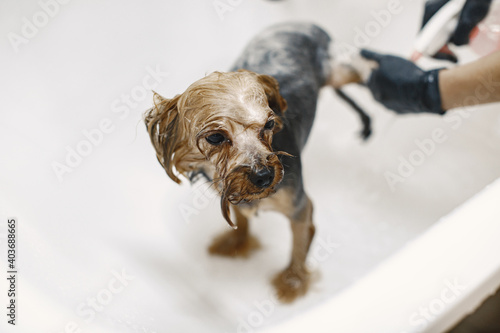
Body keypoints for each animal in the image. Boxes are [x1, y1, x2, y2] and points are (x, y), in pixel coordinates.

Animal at [145, 21, 372, 300]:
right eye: (215, 136)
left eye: (270, 124)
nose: (264, 176)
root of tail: (304, 23)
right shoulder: (230, 191)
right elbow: (241, 218)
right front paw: (237, 242)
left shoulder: (299, 207)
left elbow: (298, 248)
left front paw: (292, 282)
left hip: (340, 70)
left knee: (366, 68)